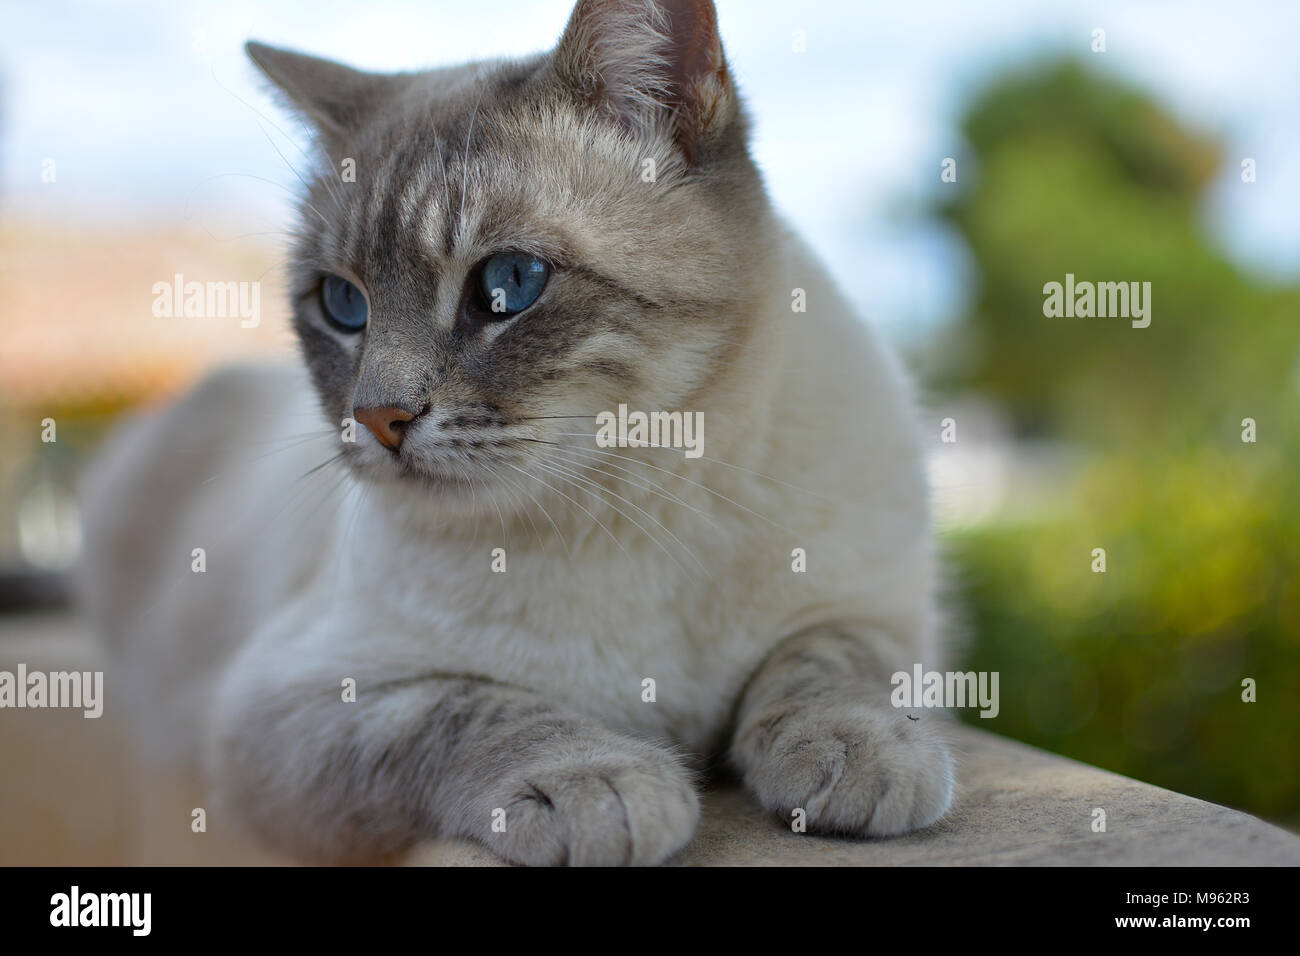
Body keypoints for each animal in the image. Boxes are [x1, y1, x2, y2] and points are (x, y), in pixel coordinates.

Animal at [78, 0, 956, 868]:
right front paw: (599, 786)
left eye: (509, 285)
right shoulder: (296, 705)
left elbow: (827, 670)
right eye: (342, 305)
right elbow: (474, 711)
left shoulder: (876, 616)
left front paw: (861, 754)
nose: (377, 418)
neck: (636, 500)